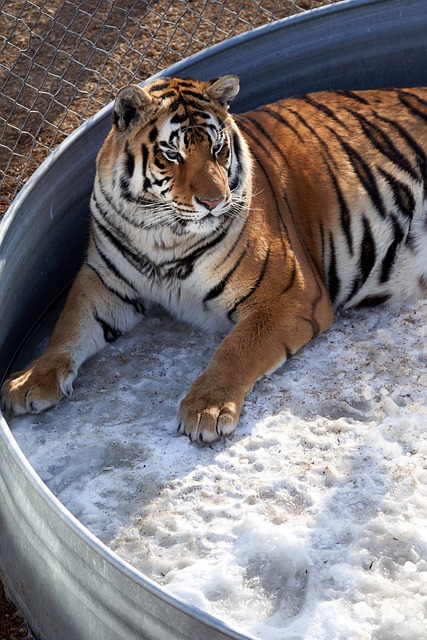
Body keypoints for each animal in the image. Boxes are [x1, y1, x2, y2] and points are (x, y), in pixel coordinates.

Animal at [2, 75, 427, 442]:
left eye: (219, 149)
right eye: (171, 154)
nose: (214, 201)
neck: (163, 236)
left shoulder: (291, 295)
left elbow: (236, 350)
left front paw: (206, 409)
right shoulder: (104, 279)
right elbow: (68, 326)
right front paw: (29, 382)